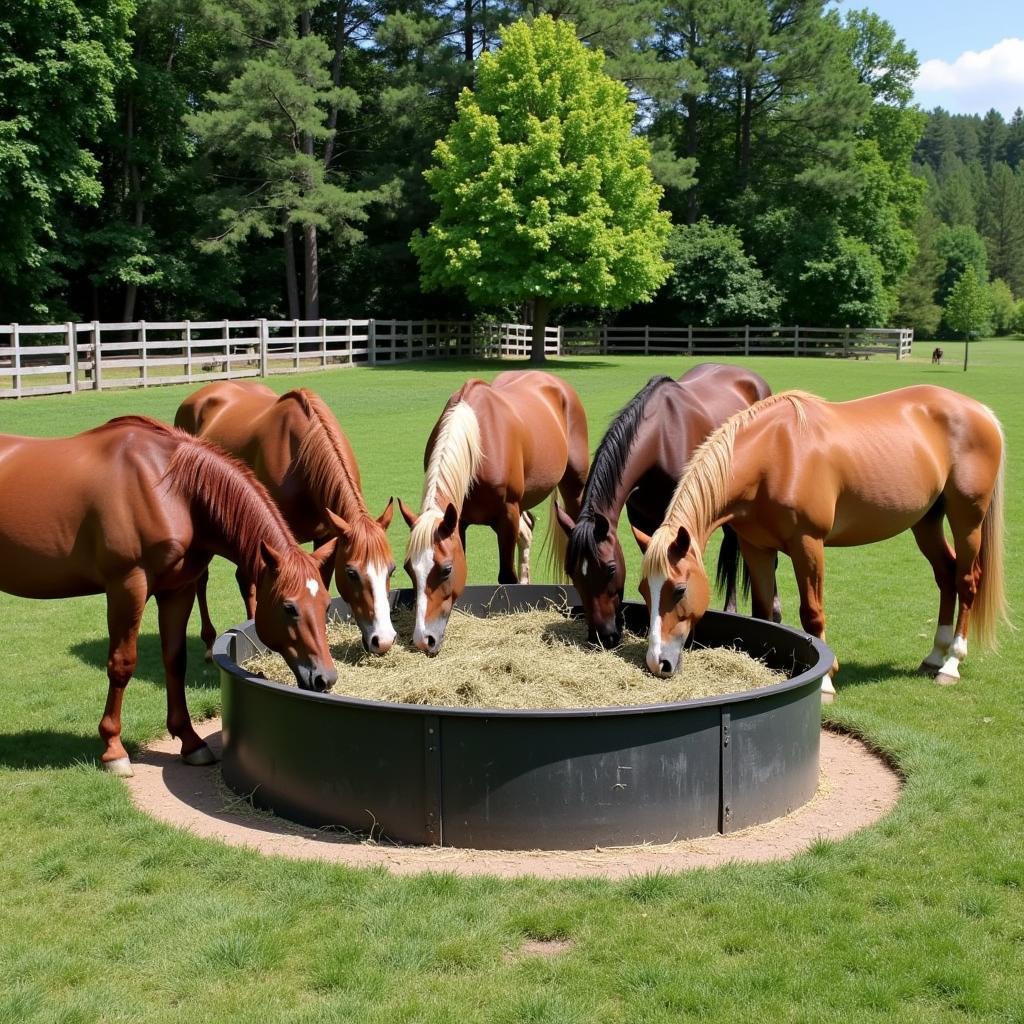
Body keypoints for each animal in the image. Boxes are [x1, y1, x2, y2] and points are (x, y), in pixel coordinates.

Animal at [0, 415, 339, 774]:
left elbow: (175, 659)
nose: (325, 678)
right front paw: (113, 749)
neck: (169, 489)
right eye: (289, 608)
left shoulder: (178, 589)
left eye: (325, 605)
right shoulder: (127, 587)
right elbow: (122, 663)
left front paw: (190, 741)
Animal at [176, 382, 395, 655]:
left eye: (392, 569)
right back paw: (208, 642)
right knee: (202, 581)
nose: (382, 640)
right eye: (352, 572)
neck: (300, 457)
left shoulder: (326, 538)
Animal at [401, 370, 593, 655]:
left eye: (446, 570)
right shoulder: (460, 522)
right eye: (408, 569)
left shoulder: (506, 517)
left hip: (573, 487)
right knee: (528, 529)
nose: (424, 640)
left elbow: (506, 577)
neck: (479, 440)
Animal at [634, 387, 1003, 700]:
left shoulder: (807, 544)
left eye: (680, 589)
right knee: (946, 575)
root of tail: (980, 410)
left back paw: (951, 664)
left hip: (967, 519)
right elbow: (763, 612)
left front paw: (825, 682)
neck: (773, 456)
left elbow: (812, 613)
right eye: (643, 590)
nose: (657, 663)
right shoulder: (756, 548)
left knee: (966, 580)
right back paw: (934, 656)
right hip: (925, 522)